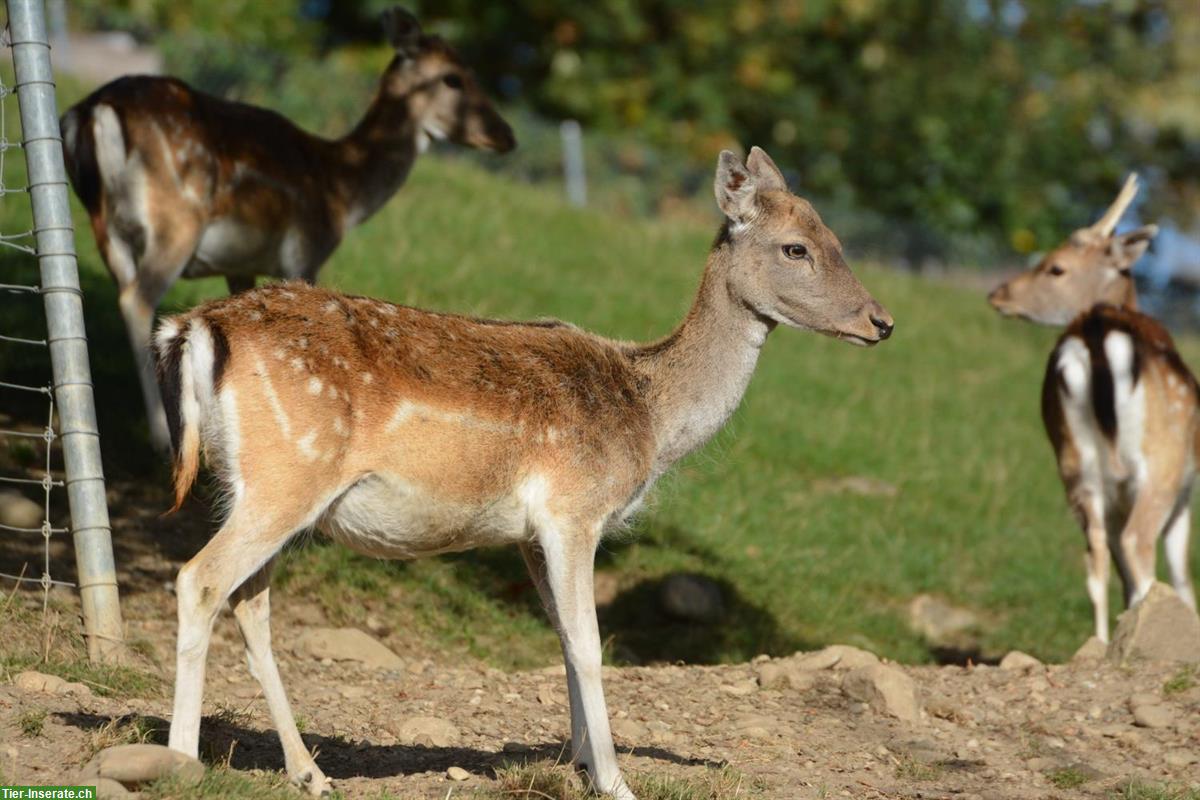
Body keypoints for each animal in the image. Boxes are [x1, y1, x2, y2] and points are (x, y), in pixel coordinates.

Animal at [62, 6, 511, 453]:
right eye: (453, 77)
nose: (506, 135)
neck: (341, 192)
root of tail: (96, 110)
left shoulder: (239, 265)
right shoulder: (305, 249)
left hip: (105, 226)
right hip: (176, 219)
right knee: (138, 299)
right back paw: (162, 436)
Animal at [152, 146, 892, 796]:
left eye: (837, 240)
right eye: (796, 247)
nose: (881, 321)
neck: (651, 417)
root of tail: (194, 328)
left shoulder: (531, 536)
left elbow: (562, 639)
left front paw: (583, 765)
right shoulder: (573, 509)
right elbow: (590, 644)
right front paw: (616, 782)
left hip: (252, 485)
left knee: (250, 601)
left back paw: (310, 773)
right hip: (287, 476)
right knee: (199, 580)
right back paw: (183, 762)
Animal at [988, 175, 1195, 642]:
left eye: (1055, 266)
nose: (997, 294)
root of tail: (1095, 337)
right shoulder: (1186, 487)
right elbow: (1180, 570)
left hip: (1076, 466)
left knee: (1095, 557)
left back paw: (1100, 643)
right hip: (1161, 463)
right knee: (1138, 546)